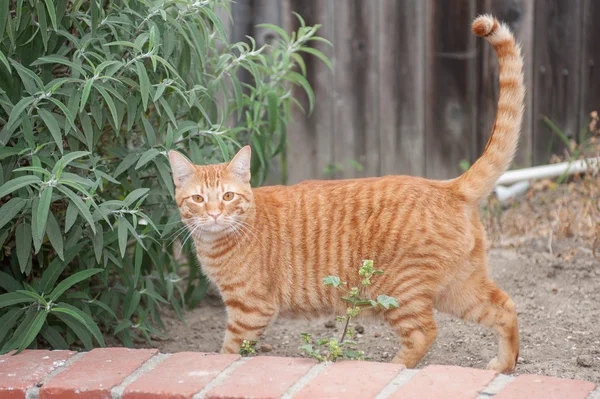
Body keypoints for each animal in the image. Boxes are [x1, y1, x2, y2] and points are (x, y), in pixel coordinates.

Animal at [169, 14, 524, 374]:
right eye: (198, 199)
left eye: (228, 197)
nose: (214, 213)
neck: (219, 241)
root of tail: (448, 185)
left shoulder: (249, 309)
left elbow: (229, 351)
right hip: (458, 288)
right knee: (505, 307)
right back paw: (503, 365)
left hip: (401, 292)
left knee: (424, 332)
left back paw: (395, 366)